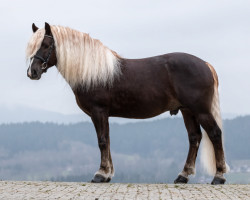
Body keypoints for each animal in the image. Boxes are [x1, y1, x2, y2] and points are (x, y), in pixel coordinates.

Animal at [26, 22, 229, 184]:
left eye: (46, 45)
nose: (32, 72)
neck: (94, 72)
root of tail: (205, 64)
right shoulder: (103, 115)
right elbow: (107, 140)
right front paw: (107, 174)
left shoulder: (98, 112)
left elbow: (102, 141)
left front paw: (100, 174)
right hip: (188, 111)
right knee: (194, 138)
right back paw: (183, 176)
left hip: (200, 111)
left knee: (215, 134)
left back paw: (218, 177)